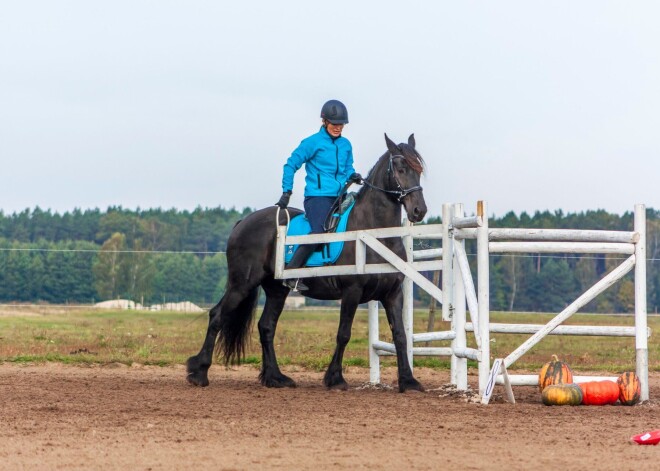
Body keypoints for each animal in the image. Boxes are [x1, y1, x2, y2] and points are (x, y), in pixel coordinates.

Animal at [188, 132, 430, 390]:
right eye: (401, 168)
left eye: (419, 170)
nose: (419, 210)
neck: (373, 235)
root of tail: (243, 222)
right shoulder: (352, 291)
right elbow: (344, 334)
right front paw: (335, 378)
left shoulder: (393, 293)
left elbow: (400, 336)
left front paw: (408, 380)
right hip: (241, 285)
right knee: (217, 316)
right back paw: (199, 372)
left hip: (276, 290)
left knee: (266, 327)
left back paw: (275, 377)